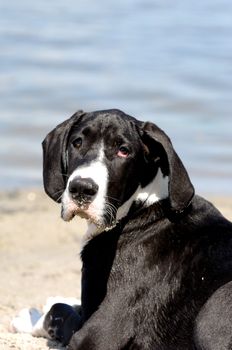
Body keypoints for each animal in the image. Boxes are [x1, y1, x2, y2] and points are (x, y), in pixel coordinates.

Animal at [12, 108, 232, 348]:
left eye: (123, 151)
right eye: (77, 142)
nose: (81, 188)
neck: (140, 205)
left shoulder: (97, 333)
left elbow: (59, 311)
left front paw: (32, 317)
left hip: (213, 308)